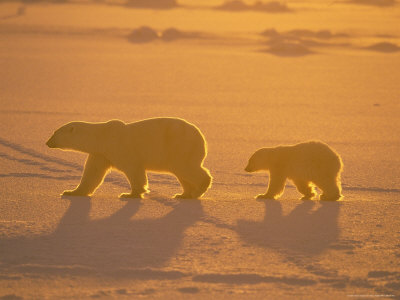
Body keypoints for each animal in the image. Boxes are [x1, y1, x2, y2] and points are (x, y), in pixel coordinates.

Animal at [46, 117, 212, 199]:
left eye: (54, 133)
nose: (47, 142)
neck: (102, 136)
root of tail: (202, 139)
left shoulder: (120, 147)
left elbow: (134, 169)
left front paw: (130, 194)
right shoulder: (101, 153)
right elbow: (92, 173)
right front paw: (71, 192)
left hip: (180, 147)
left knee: (186, 168)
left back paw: (199, 189)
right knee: (182, 174)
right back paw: (183, 194)